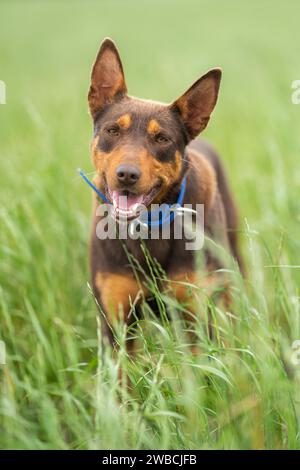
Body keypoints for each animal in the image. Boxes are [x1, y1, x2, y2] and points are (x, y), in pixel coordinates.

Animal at [87, 38, 244, 344]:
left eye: (162, 138)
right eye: (112, 130)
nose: (126, 175)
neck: (147, 229)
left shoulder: (195, 317)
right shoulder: (116, 323)